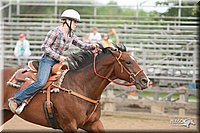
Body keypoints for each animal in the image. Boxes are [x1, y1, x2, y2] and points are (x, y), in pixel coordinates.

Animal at [1, 46, 148, 132]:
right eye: (128, 61)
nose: (145, 80)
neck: (81, 86)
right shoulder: (69, 125)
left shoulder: (94, 123)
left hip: (6, 113)